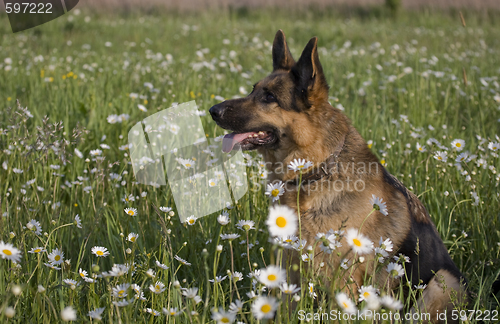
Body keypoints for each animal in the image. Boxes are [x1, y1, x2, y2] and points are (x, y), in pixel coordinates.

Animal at [209, 30, 466, 322]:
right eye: (253, 90)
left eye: (269, 97)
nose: (213, 111)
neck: (317, 170)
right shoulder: (291, 268)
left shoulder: (343, 279)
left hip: (442, 284)